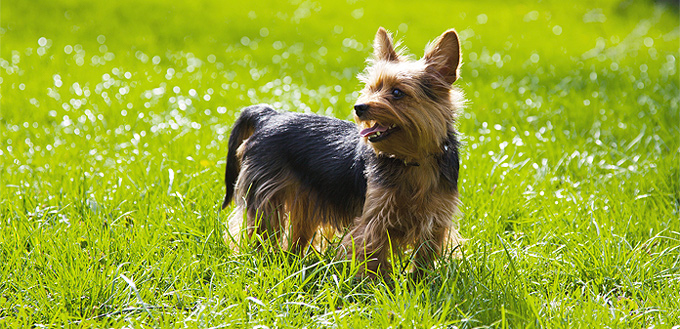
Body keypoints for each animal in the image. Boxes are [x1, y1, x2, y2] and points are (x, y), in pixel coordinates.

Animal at [223, 26, 468, 276]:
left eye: (397, 93)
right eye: (370, 88)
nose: (359, 107)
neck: (411, 159)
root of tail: (269, 115)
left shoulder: (435, 219)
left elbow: (424, 258)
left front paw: (420, 281)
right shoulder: (374, 217)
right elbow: (372, 255)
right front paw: (375, 284)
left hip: (305, 198)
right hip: (265, 192)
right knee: (261, 229)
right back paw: (261, 261)